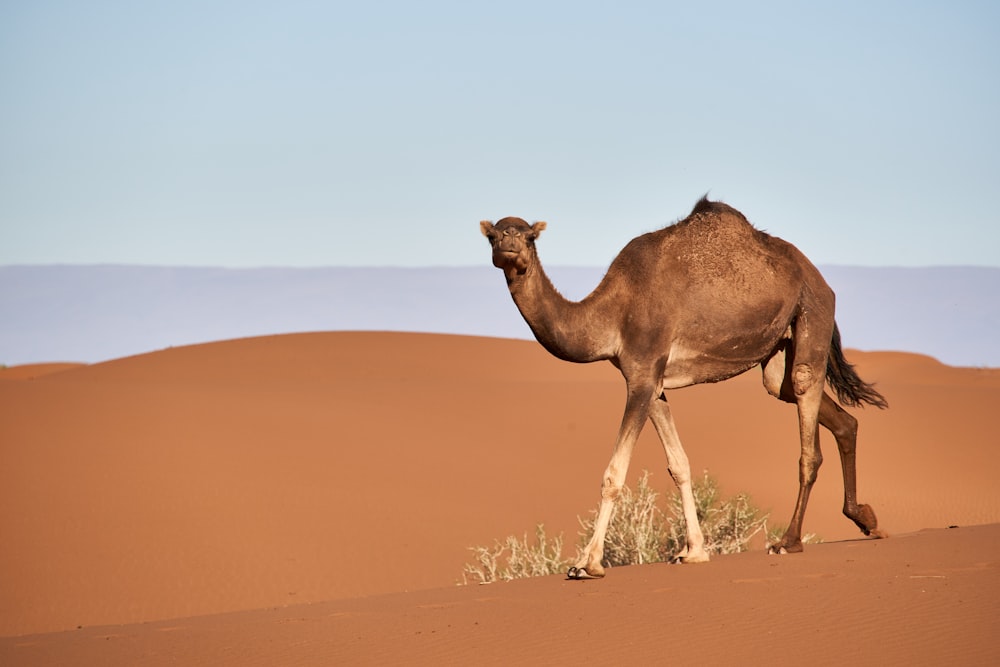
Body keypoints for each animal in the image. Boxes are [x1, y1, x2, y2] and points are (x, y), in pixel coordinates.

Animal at [480, 194, 888, 580]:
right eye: (493, 235)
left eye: (529, 236)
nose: (510, 244)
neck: (612, 313)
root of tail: (818, 277)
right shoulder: (652, 382)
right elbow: (679, 465)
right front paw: (694, 551)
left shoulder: (643, 374)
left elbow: (614, 474)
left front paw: (587, 564)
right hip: (776, 351)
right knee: (815, 404)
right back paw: (867, 519)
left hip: (812, 310)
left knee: (806, 419)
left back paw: (789, 541)